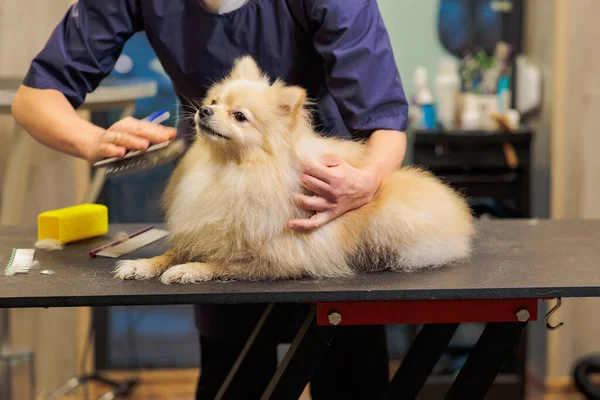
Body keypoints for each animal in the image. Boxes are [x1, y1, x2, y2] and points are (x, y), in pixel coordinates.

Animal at [115, 55, 476, 284]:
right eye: (214, 103)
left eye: (240, 116)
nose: (203, 111)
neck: (229, 170)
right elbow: (174, 251)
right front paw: (142, 265)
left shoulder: (277, 257)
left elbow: (223, 261)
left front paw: (188, 270)